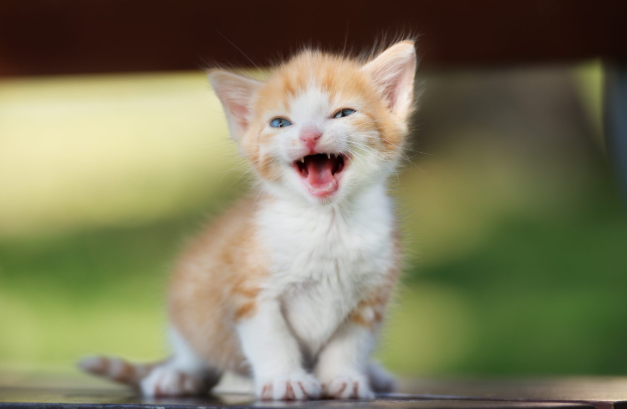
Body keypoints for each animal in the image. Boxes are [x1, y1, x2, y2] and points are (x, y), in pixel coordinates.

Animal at [81, 40, 420, 398]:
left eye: (344, 114)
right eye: (280, 123)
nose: (310, 135)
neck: (329, 223)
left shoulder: (370, 297)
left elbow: (349, 344)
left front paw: (343, 377)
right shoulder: (251, 292)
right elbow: (272, 339)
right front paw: (286, 378)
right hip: (189, 300)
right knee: (195, 351)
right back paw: (178, 375)